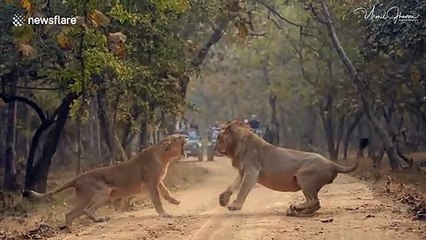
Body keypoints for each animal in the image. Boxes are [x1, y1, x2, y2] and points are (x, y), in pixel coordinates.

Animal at [22, 134, 188, 228]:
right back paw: (99, 219)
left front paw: (175, 201)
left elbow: (166, 192)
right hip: (104, 193)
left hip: (84, 199)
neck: (164, 157)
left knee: (70, 214)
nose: (186, 136)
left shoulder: (157, 181)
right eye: (179, 137)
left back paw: (71, 228)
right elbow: (157, 200)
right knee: (88, 209)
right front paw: (164, 214)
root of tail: (78, 177)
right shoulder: (151, 183)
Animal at [216, 121, 360, 217]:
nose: (215, 147)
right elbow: (232, 185)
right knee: (315, 203)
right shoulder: (243, 171)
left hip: (304, 178)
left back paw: (295, 207)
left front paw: (235, 205)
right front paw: (223, 199)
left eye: (219, 137)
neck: (236, 145)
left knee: (315, 201)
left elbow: (243, 189)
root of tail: (332, 163)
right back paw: (295, 211)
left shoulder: (252, 171)